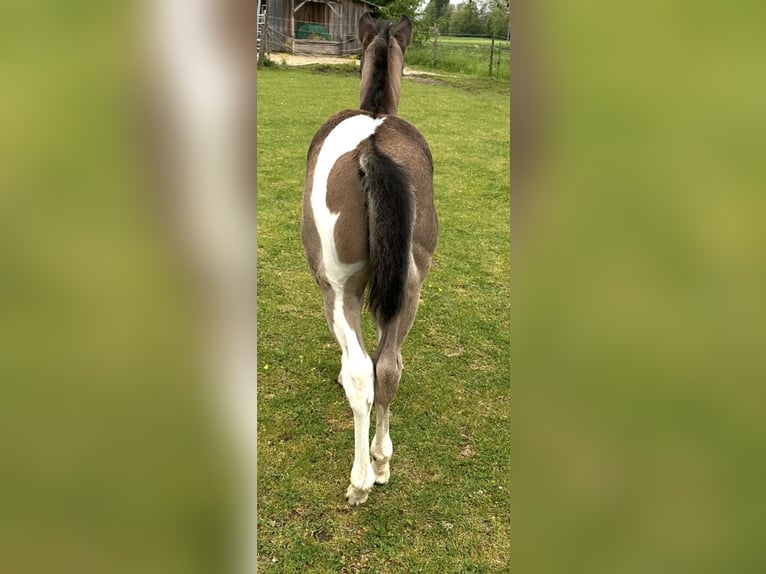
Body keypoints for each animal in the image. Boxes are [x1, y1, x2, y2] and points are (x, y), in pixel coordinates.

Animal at [301, 13, 439, 505]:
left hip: (338, 290)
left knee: (363, 372)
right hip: (411, 287)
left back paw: (360, 480)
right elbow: (384, 359)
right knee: (389, 368)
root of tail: (371, 150)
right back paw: (381, 463)